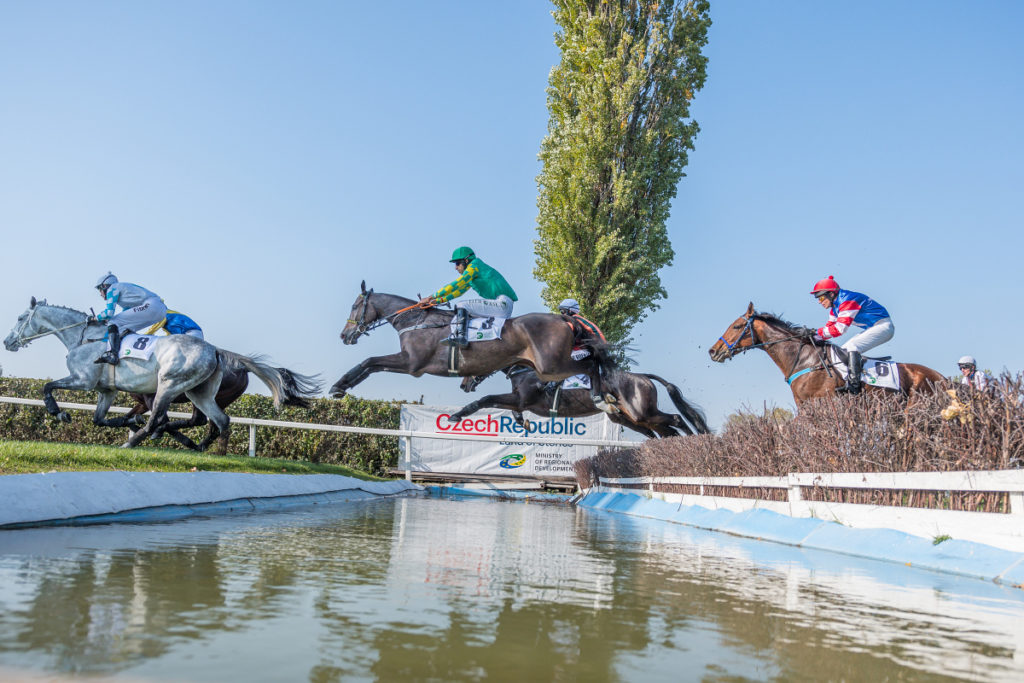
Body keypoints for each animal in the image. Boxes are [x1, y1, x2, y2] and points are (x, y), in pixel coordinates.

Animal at [4, 298, 319, 448]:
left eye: (20, 318)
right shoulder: (107, 390)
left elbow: (47, 387)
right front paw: (123, 421)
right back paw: (207, 449)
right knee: (220, 421)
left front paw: (58, 412)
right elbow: (99, 420)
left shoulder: (83, 381)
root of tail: (216, 350)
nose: (8, 342)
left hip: (169, 385)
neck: (84, 337)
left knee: (161, 418)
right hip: (198, 392)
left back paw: (134, 442)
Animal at [329, 282, 618, 404]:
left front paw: (338, 385)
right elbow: (371, 365)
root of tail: (563, 319)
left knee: (589, 365)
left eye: (355, 306)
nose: (344, 335)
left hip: (551, 366)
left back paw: (600, 393)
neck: (415, 320)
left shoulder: (412, 364)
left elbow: (369, 361)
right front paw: (341, 387)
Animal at [451, 366, 711, 438]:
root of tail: (643, 376)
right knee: (665, 432)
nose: (464, 384)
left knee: (676, 419)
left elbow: (486, 400)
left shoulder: (522, 399)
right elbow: (511, 411)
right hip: (629, 418)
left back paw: (695, 440)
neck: (524, 370)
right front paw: (523, 423)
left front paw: (456, 415)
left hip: (642, 413)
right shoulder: (520, 402)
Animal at [708, 302, 944, 404]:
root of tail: (940, 376)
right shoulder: (803, 405)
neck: (804, 361)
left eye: (737, 326)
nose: (713, 350)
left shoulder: (824, 403)